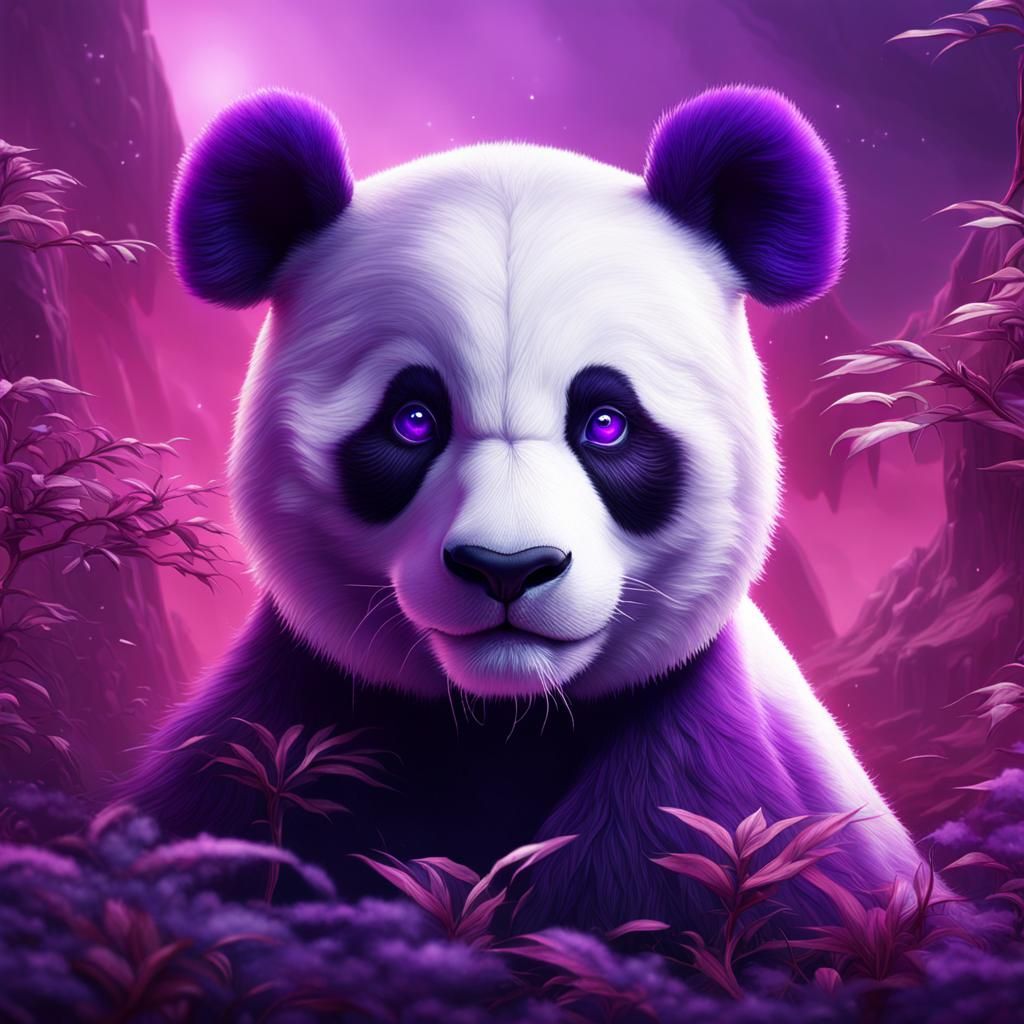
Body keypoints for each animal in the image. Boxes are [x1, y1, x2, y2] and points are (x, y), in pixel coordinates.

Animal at [132, 86, 925, 932]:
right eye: (413, 419)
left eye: (606, 422)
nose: (507, 569)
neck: (504, 727)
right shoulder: (280, 737)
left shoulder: (732, 799)